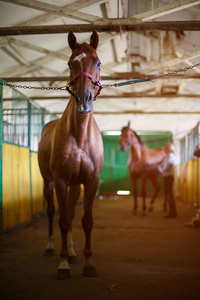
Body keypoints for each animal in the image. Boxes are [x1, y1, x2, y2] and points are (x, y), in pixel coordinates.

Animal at [37, 30, 103, 278]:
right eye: (69, 63)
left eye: (98, 63)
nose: (84, 100)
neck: (80, 137)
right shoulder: (60, 180)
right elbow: (63, 220)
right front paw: (63, 263)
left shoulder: (91, 181)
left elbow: (86, 221)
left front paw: (88, 263)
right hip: (48, 182)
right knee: (53, 212)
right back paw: (50, 248)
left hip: (75, 185)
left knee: (73, 214)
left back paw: (74, 253)